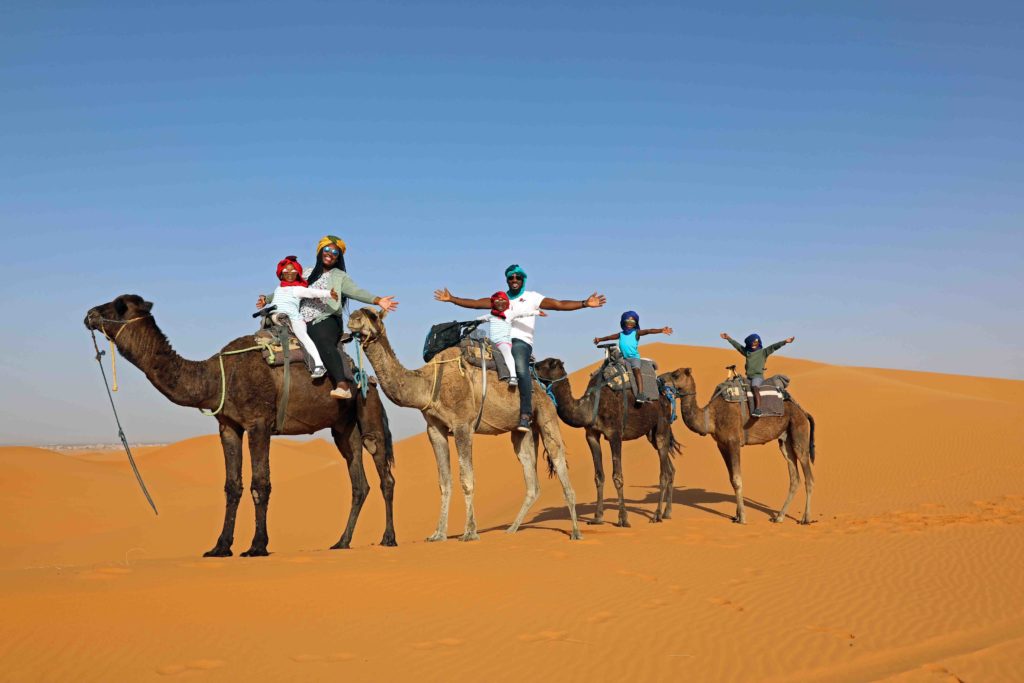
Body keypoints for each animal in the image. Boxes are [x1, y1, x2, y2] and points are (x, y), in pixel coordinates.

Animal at [83, 294, 397, 557]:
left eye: (119, 306)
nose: (89, 314)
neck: (216, 376)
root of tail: (362, 373)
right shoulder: (228, 426)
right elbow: (232, 486)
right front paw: (220, 547)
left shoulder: (259, 422)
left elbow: (260, 484)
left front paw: (257, 546)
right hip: (343, 427)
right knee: (359, 482)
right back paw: (342, 542)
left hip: (367, 407)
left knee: (383, 470)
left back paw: (388, 538)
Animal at [346, 309, 581, 540]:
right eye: (356, 313)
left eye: (372, 315)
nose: (353, 319)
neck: (428, 384)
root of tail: (541, 384)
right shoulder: (434, 429)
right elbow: (444, 482)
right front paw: (438, 533)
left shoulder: (462, 425)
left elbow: (466, 479)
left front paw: (470, 532)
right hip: (522, 430)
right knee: (531, 478)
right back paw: (512, 529)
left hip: (546, 413)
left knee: (558, 458)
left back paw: (576, 531)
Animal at [532, 358, 684, 528]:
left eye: (545, 364)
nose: (531, 364)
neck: (590, 406)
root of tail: (665, 393)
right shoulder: (591, 435)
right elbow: (599, 476)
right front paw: (597, 517)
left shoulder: (615, 434)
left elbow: (617, 476)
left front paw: (623, 518)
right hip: (650, 433)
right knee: (670, 469)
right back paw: (667, 512)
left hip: (662, 425)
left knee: (664, 471)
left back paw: (656, 515)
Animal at [659, 368, 819, 524]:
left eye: (676, 374)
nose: (660, 379)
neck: (711, 417)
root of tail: (803, 412)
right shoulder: (722, 445)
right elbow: (731, 479)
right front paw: (736, 516)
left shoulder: (733, 442)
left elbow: (737, 479)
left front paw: (742, 517)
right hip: (785, 440)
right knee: (794, 477)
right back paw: (779, 517)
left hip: (799, 430)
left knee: (808, 476)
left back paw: (806, 518)